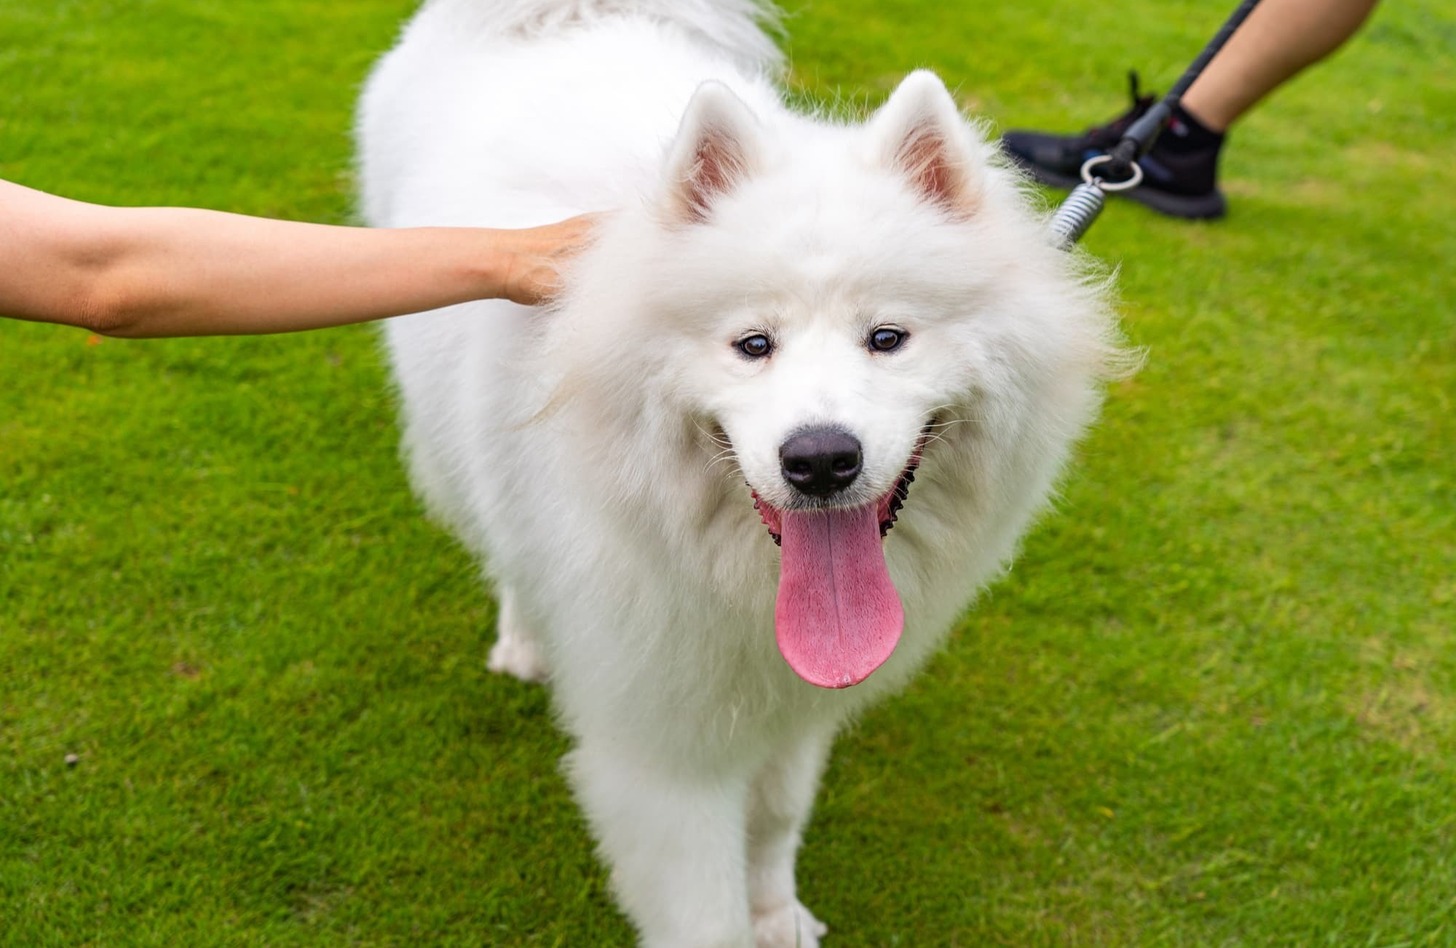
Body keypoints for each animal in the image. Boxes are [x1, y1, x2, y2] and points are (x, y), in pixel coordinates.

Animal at [358, 0, 1118, 943]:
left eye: (888, 338)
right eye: (753, 345)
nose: (821, 458)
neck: (740, 581)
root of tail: (557, 21)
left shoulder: (793, 709)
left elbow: (777, 817)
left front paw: (777, 911)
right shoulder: (662, 752)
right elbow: (702, 908)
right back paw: (526, 638)